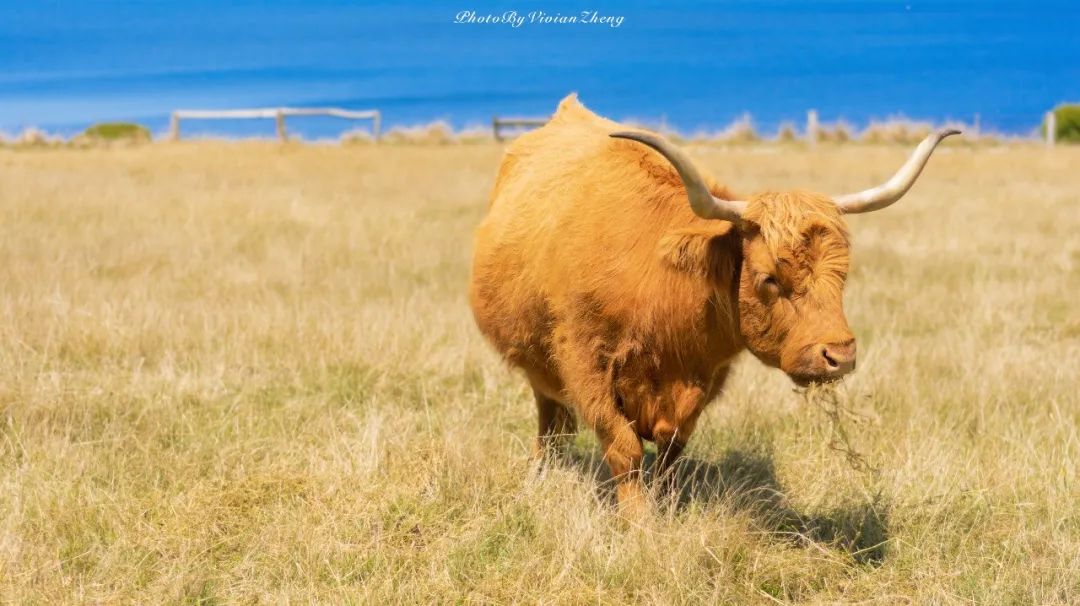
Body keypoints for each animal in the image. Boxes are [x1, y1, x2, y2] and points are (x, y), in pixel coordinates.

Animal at [468, 95, 959, 514]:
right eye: (769, 279)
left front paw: (665, 507)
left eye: (842, 275)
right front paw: (638, 524)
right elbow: (624, 449)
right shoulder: (586, 365)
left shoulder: (702, 381)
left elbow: (671, 452)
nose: (839, 355)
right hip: (539, 364)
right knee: (550, 420)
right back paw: (540, 475)